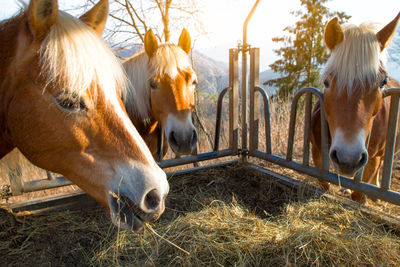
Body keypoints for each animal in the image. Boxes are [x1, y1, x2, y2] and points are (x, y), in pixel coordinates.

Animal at [312, 12, 400, 203]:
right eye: (326, 82)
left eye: (383, 82)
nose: (348, 158)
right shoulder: (317, 148)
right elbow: (323, 180)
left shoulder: (372, 158)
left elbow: (359, 192)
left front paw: (363, 197)